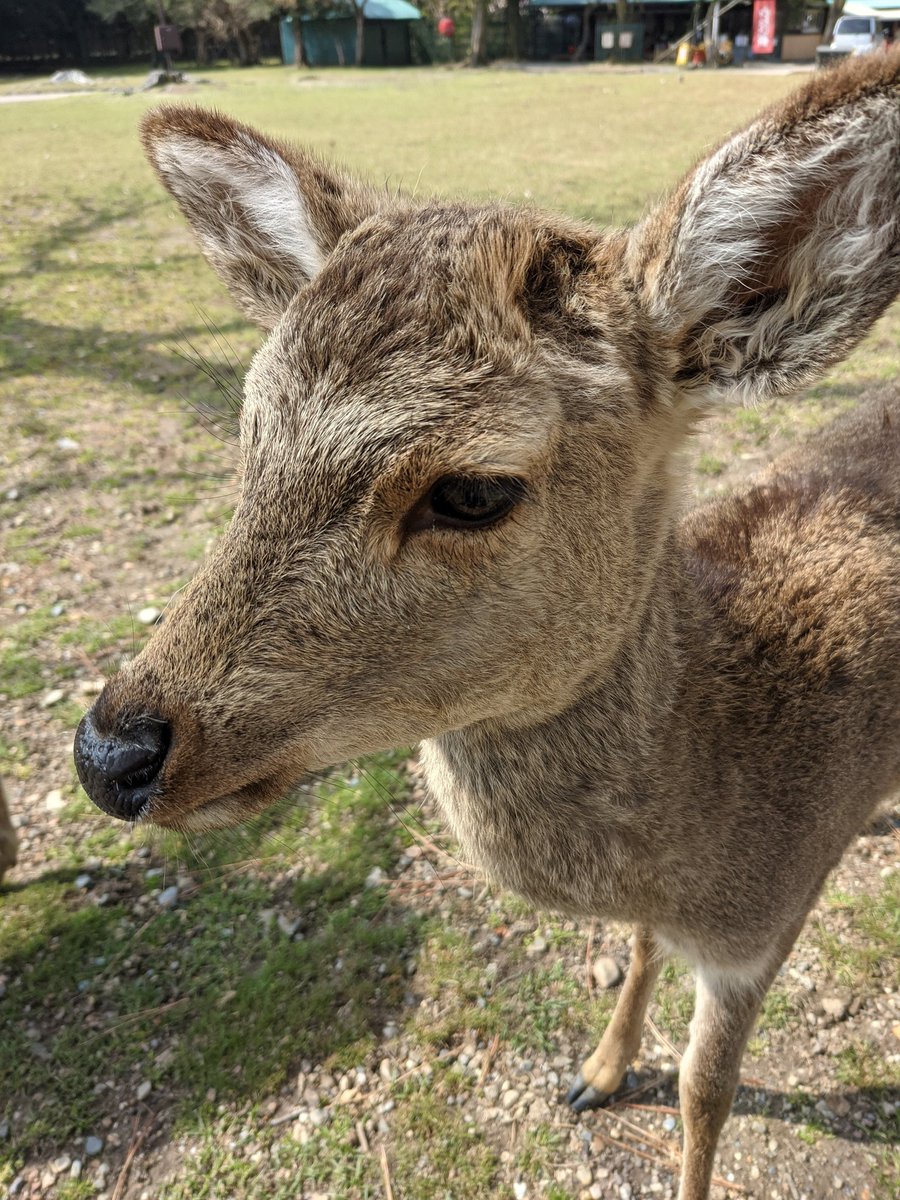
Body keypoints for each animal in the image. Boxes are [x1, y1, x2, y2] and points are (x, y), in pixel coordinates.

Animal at [73, 54, 900, 1200]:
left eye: (471, 492)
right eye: (250, 434)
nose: (111, 751)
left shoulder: (765, 928)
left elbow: (706, 1096)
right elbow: (639, 948)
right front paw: (597, 1071)